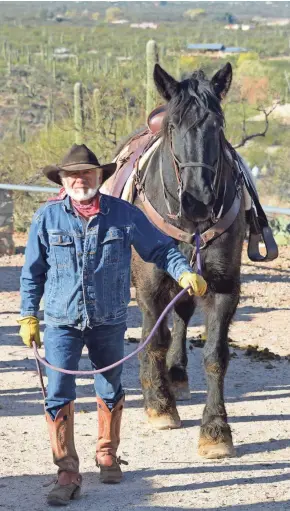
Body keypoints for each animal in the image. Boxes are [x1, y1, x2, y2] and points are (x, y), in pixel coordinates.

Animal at [123, 62, 246, 458]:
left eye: (218, 125)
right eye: (173, 126)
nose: (197, 199)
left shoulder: (223, 285)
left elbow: (216, 354)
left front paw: (216, 430)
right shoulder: (150, 284)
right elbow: (154, 340)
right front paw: (160, 405)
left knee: (179, 317)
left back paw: (176, 374)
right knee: (154, 330)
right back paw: (156, 388)